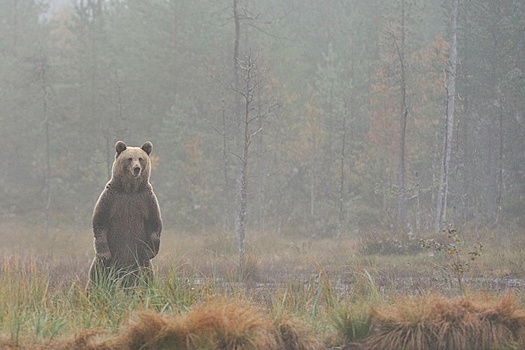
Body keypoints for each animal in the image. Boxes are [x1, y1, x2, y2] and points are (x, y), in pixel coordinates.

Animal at [87, 140, 162, 290]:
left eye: (141, 158)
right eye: (129, 158)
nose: (136, 168)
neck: (130, 190)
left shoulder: (146, 199)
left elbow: (154, 223)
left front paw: (150, 251)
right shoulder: (111, 198)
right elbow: (100, 221)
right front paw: (105, 253)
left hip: (141, 267)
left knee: (147, 280)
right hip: (103, 267)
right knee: (96, 278)